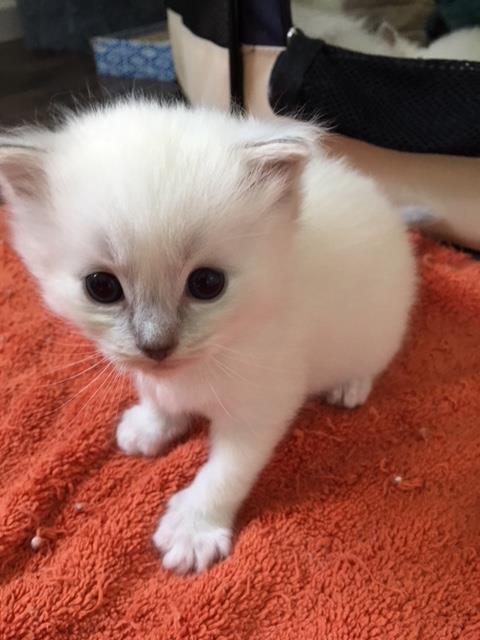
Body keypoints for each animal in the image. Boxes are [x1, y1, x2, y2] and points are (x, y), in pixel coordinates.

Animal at [0, 101, 416, 573]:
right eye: (101, 287)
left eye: (207, 284)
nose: (156, 346)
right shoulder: (153, 375)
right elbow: (156, 394)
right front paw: (152, 426)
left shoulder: (263, 404)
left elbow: (226, 472)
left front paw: (192, 530)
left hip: (380, 328)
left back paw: (350, 387)